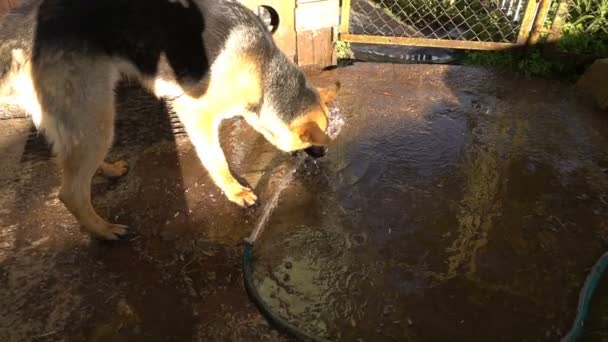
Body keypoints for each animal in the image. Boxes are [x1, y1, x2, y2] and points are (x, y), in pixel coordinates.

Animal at [0, 0, 342, 239]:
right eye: (311, 143)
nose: (323, 154)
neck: (264, 75)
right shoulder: (196, 114)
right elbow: (217, 160)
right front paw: (235, 191)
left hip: (88, 118)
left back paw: (107, 170)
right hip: (96, 115)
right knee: (69, 192)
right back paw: (104, 231)